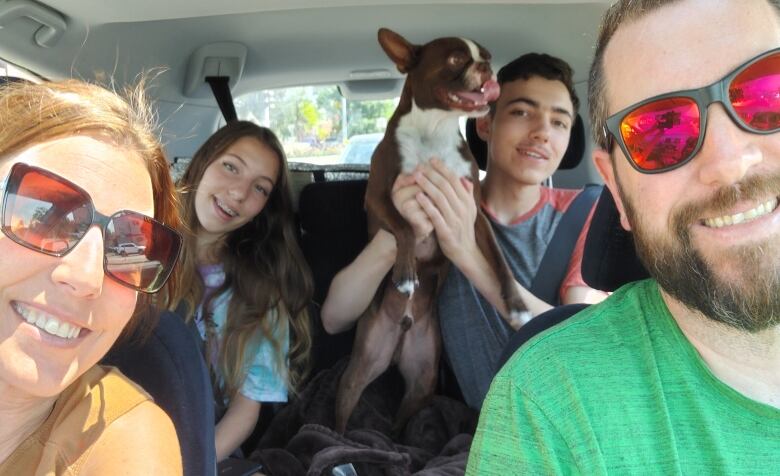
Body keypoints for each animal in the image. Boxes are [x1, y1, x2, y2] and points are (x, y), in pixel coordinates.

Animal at [332, 27, 528, 434]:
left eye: (486, 54)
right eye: (456, 59)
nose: (487, 67)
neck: (435, 131)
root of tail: (401, 331)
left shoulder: (473, 214)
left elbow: (499, 260)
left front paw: (516, 304)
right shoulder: (379, 197)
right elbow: (406, 228)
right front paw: (407, 274)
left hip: (422, 378)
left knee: (400, 425)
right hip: (358, 372)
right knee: (343, 413)